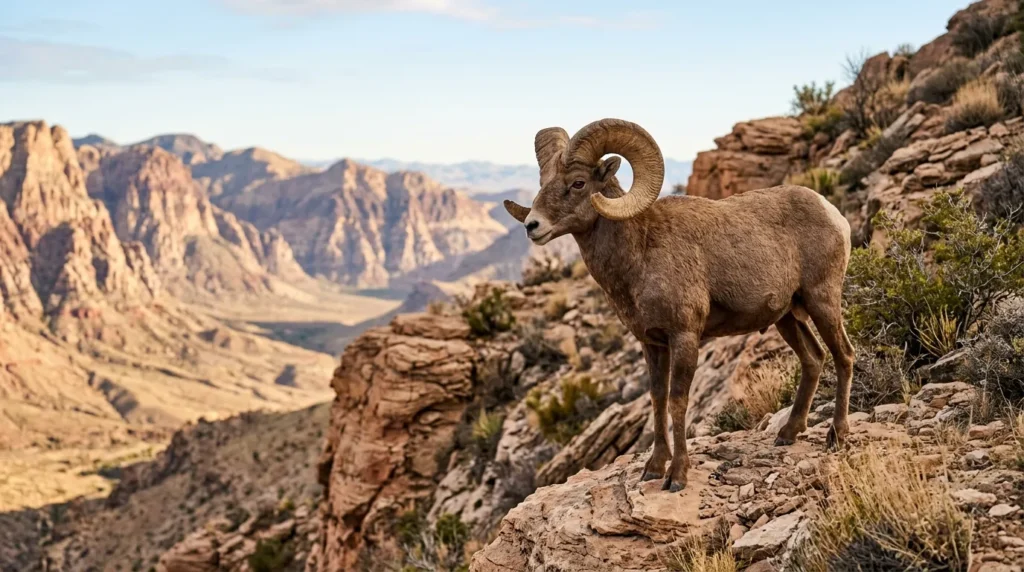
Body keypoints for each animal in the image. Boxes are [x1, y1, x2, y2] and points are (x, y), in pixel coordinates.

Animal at [504, 118, 854, 493]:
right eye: (544, 183)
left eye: (578, 183)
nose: (533, 226)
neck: (640, 253)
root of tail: (834, 215)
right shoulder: (653, 343)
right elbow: (658, 400)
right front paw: (654, 468)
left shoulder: (684, 337)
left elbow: (677, 401)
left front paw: (677, 476)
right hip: (787, 317)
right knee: (814, 359)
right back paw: (788, 433)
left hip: (822, 301)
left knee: (844, 356)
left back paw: (836, 436)